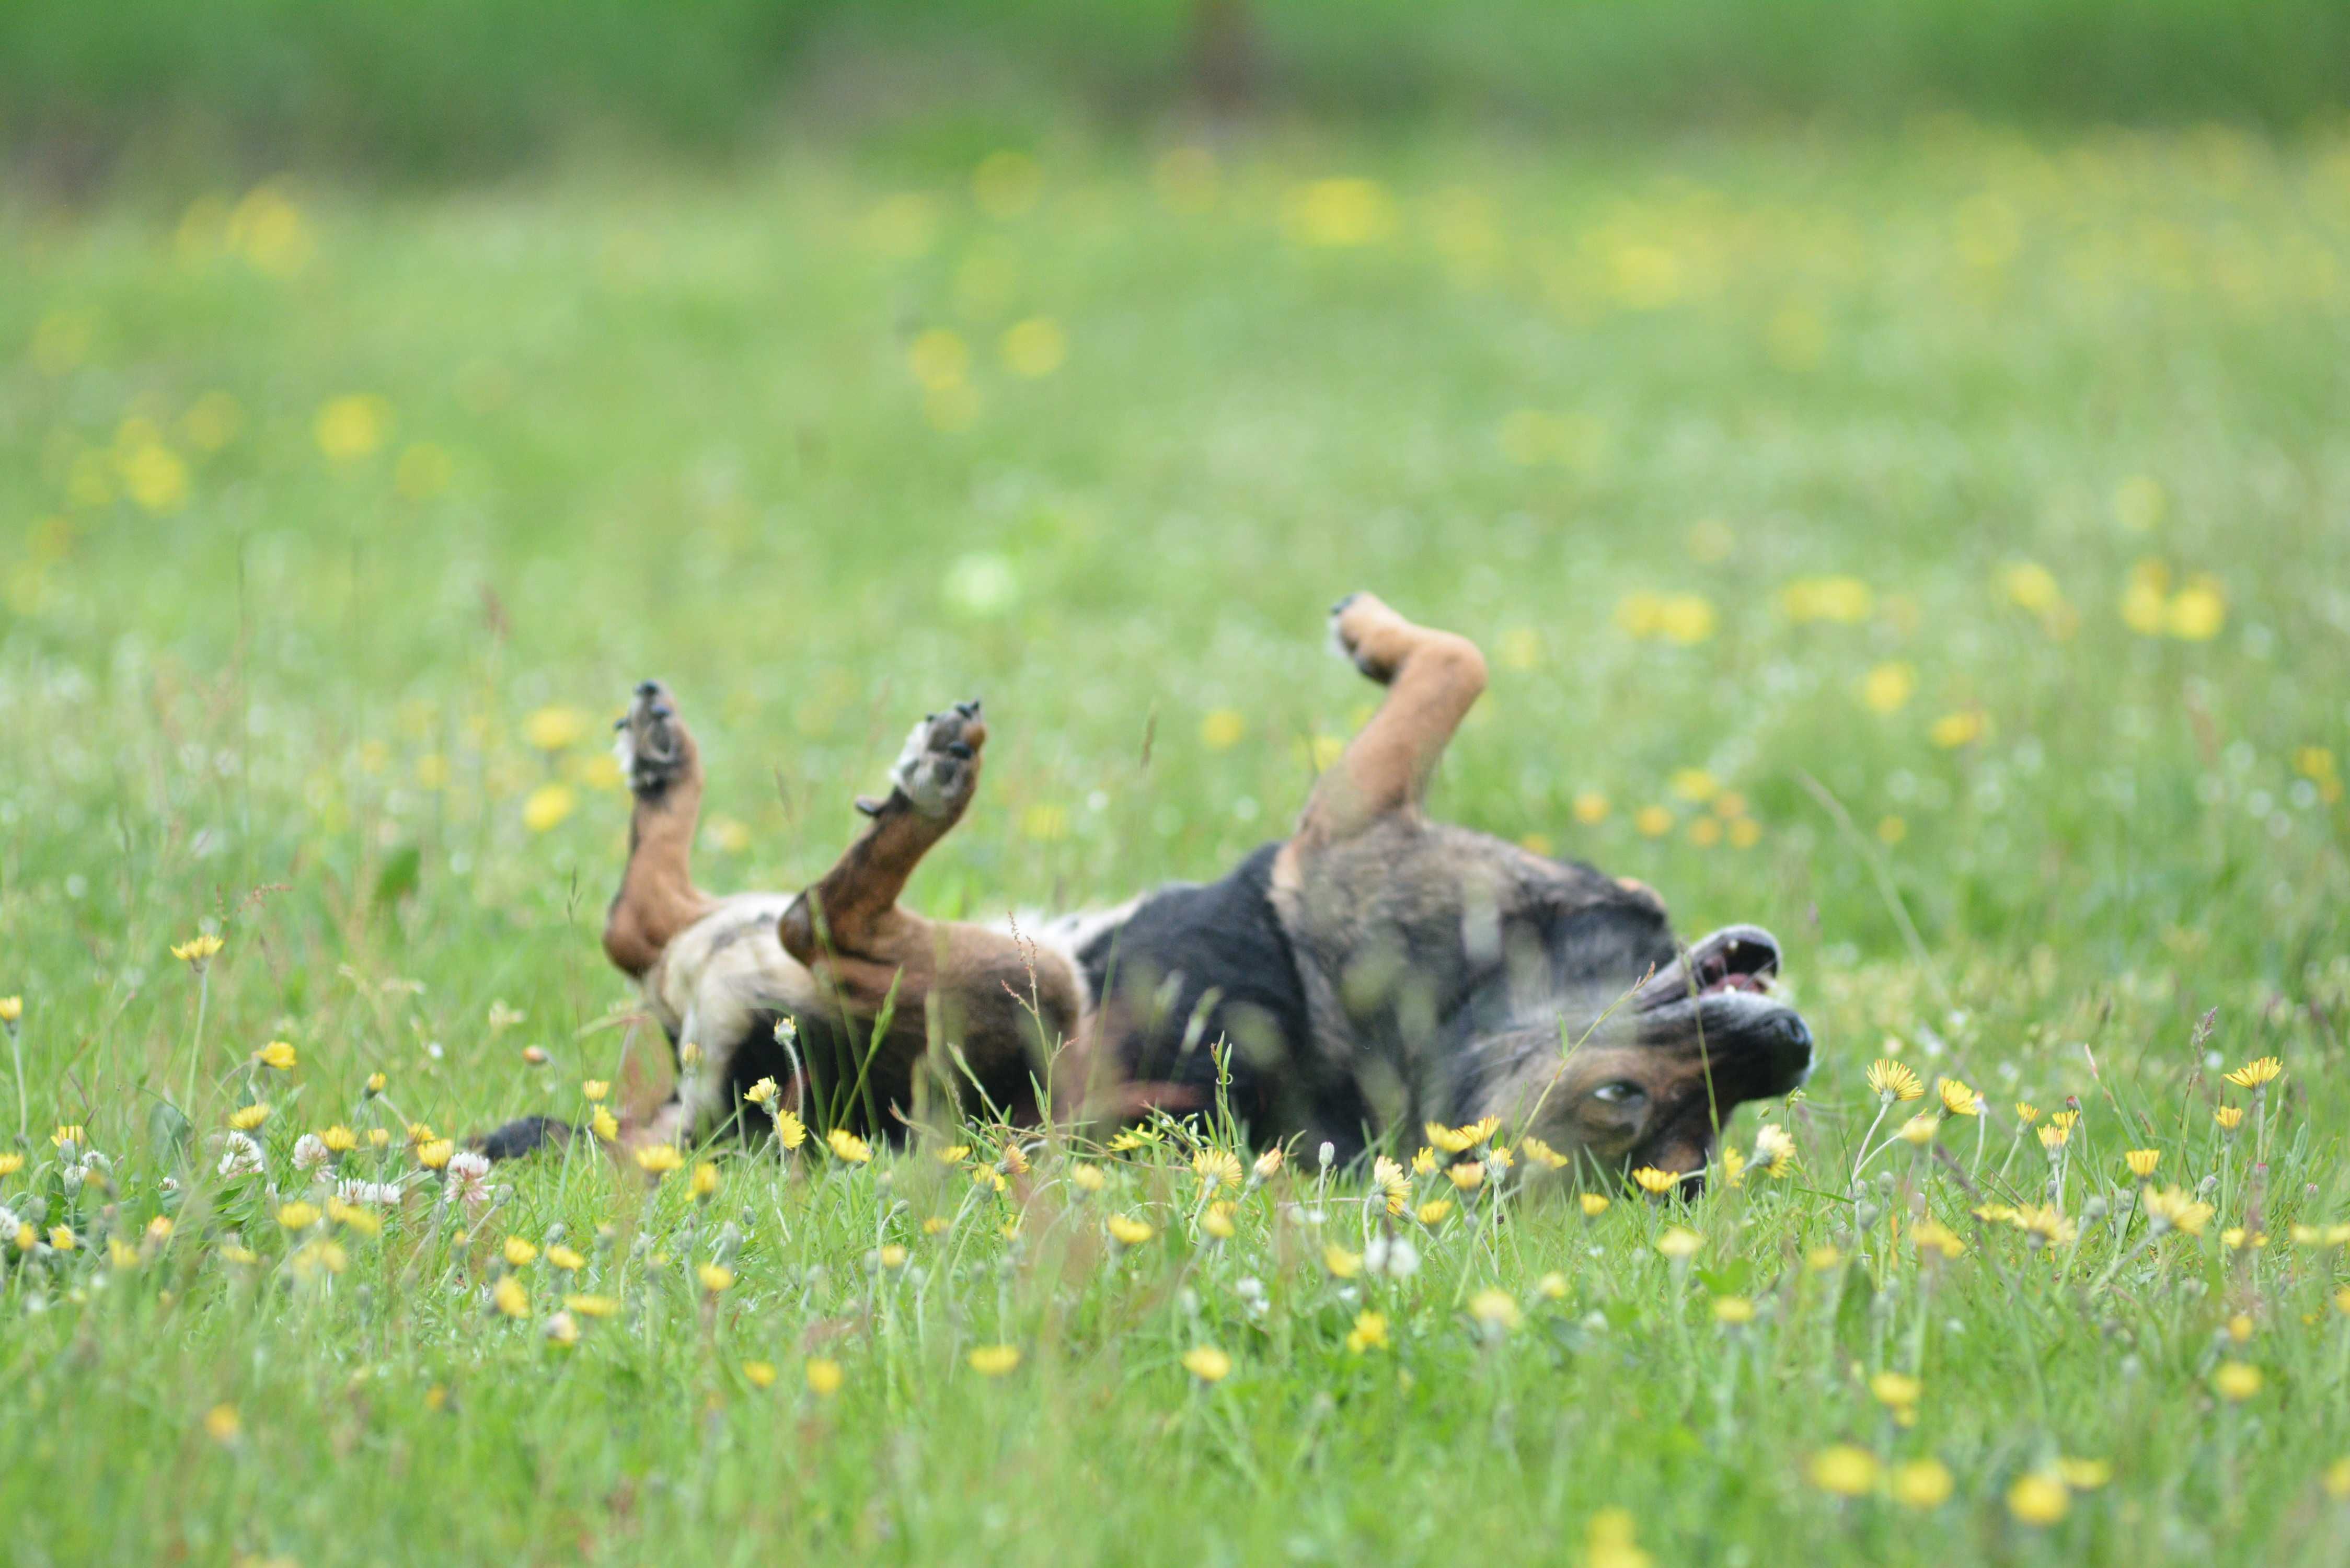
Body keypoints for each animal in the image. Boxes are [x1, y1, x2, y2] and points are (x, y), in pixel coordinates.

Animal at [467, 592, 1804, 1189]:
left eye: (1652, 1121)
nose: (1786, 1049)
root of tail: (717, 1118)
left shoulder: (1344, 824)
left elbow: (1455, 665)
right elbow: (1460, 661)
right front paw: (1373, 633)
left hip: (1018, 999)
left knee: (805, 918)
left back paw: (929, 786)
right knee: (651, 919)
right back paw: (663, 757)